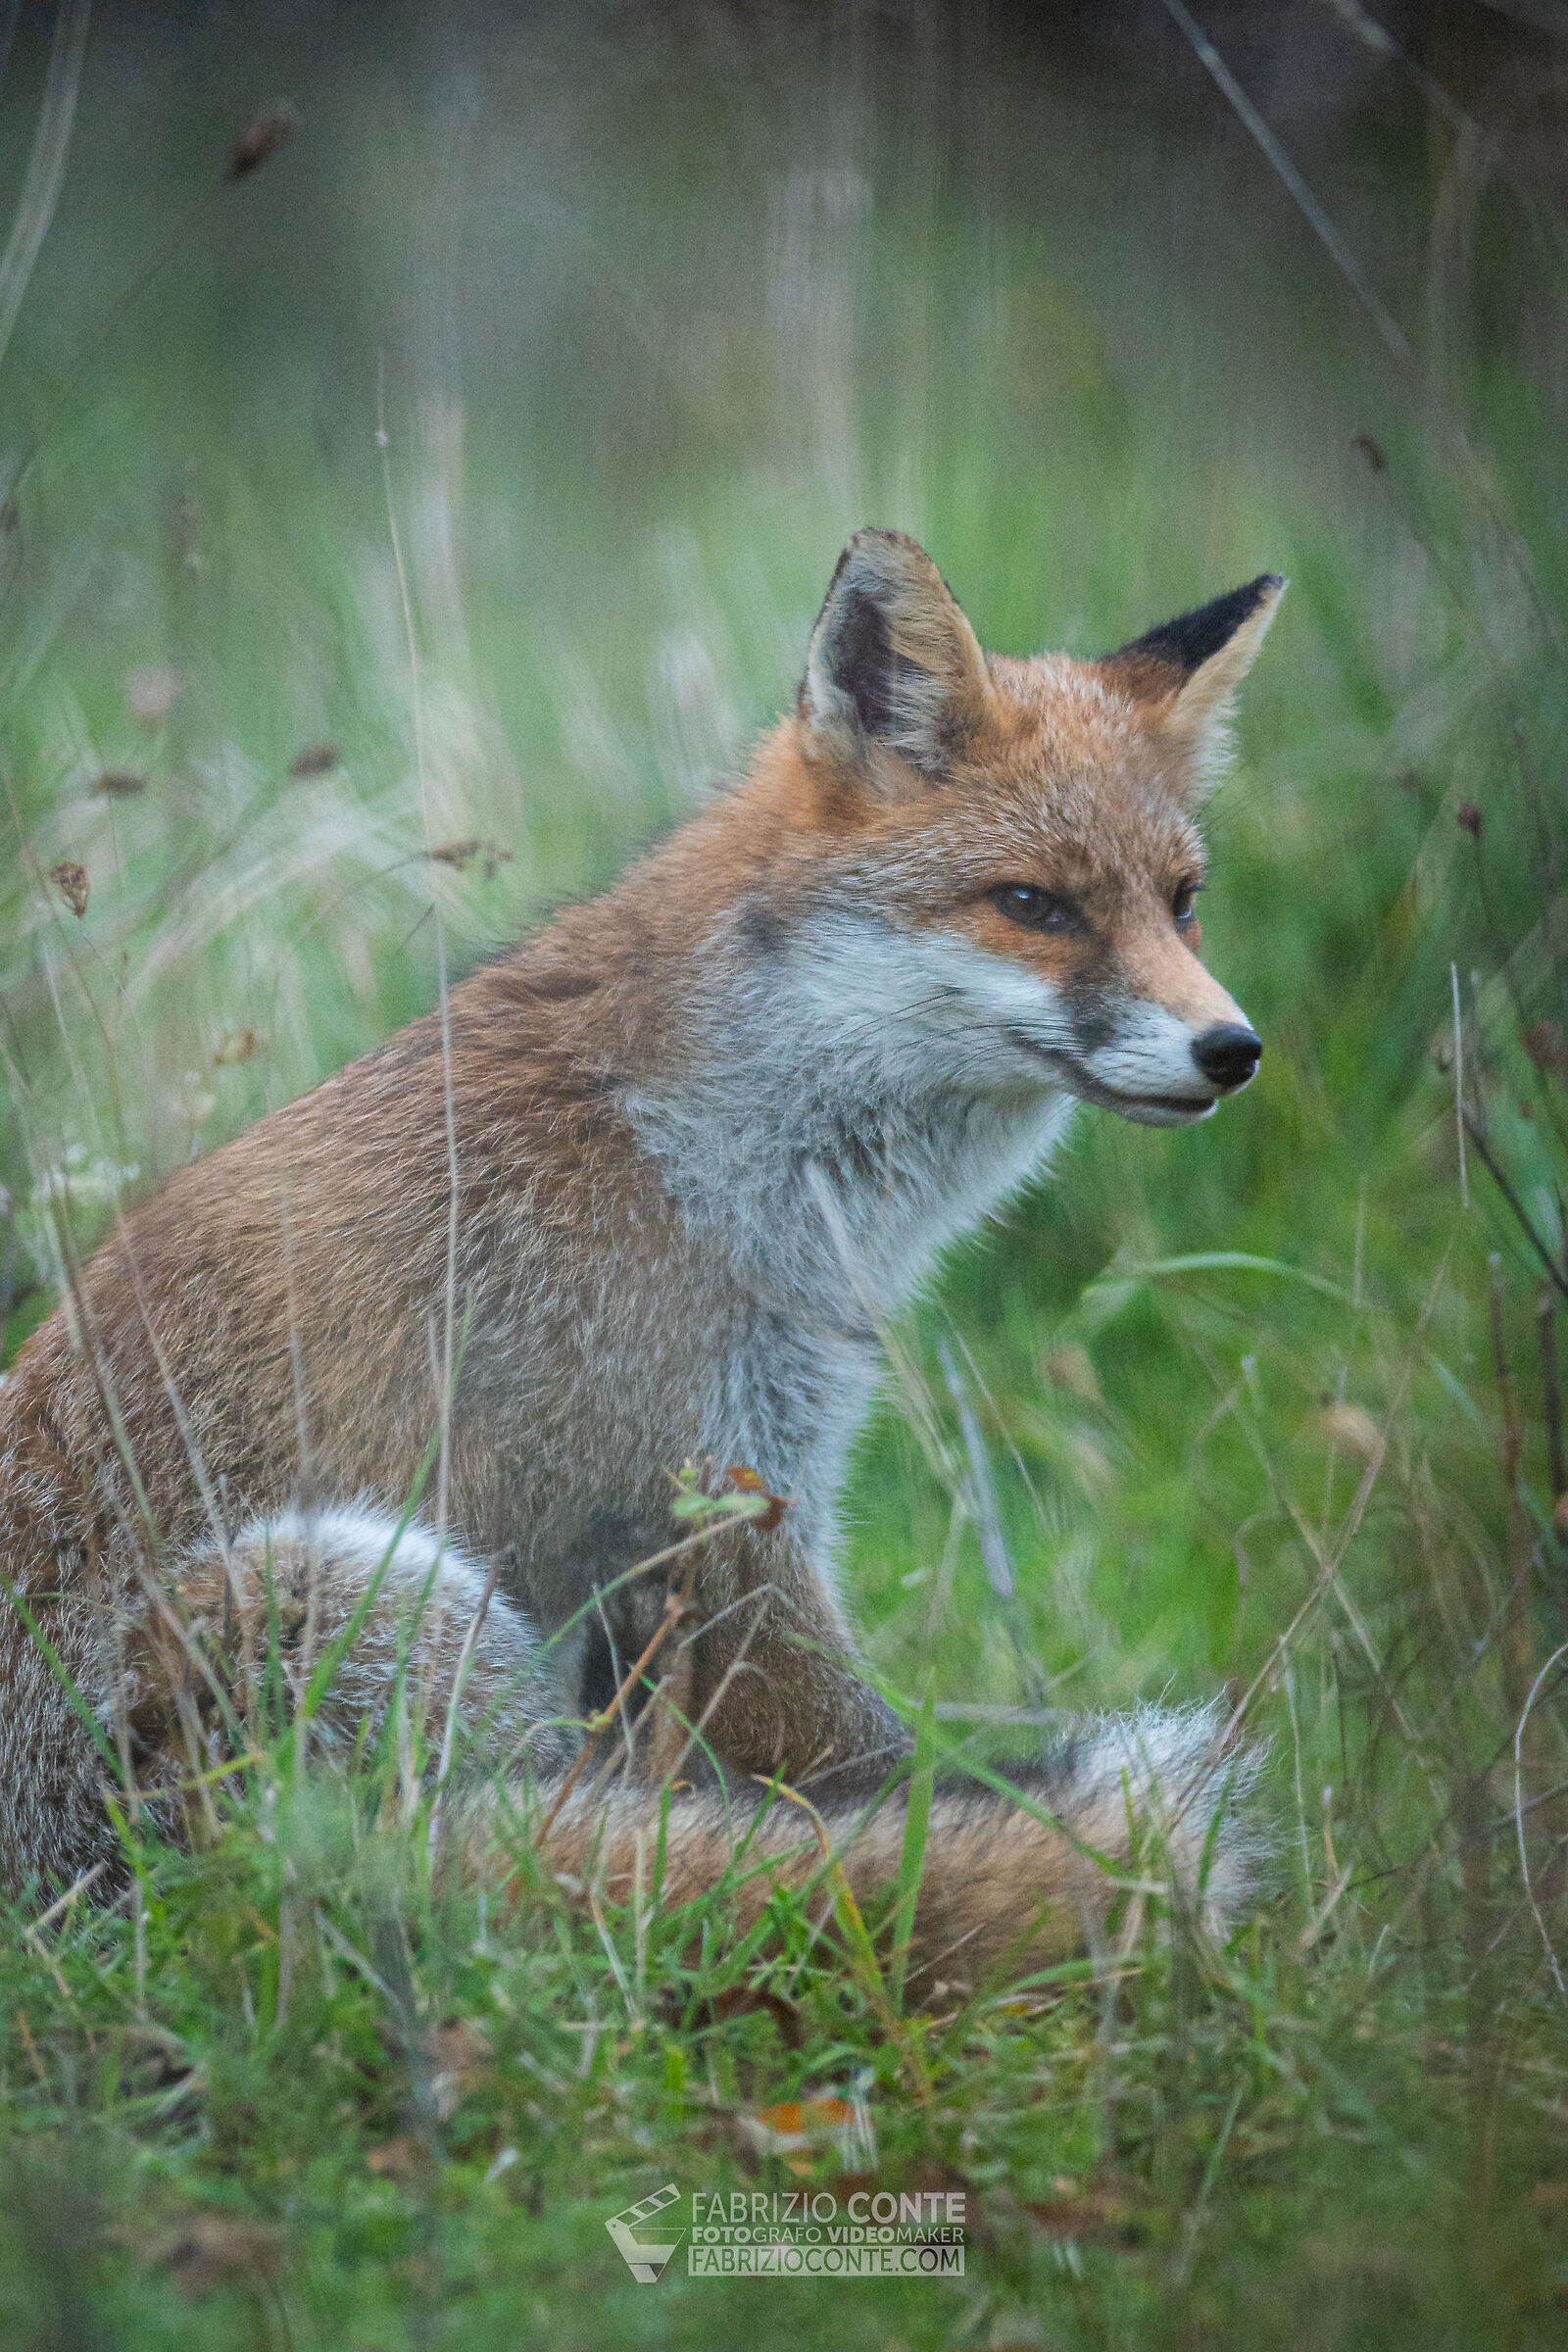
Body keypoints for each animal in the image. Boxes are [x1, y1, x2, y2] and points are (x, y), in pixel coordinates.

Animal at [0, 529, 1280, 1992]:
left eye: (1183, 907)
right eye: (1037, 906)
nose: (1233, 1049)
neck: (709, 1151)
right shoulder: (702, 1526)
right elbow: (892, 1786)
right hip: (362, 1596)